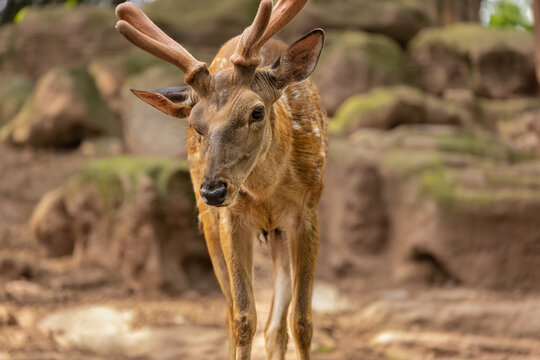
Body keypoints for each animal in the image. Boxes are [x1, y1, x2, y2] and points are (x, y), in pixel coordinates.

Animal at [116, 1, 326, 358]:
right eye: (195, 125)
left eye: (257, 111)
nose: (213, 190)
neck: (267, 192)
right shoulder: (230, 220)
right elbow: (243, 317)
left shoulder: (307, 212)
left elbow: (301, 321)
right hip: (208, 223)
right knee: (233, 314)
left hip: (278, 231)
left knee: (275, 326)